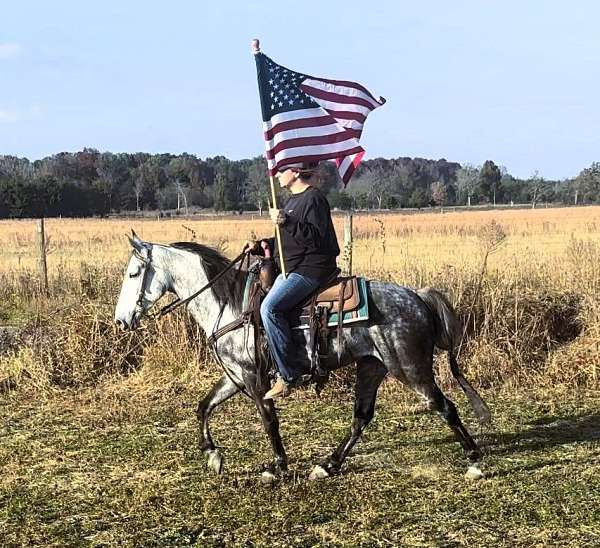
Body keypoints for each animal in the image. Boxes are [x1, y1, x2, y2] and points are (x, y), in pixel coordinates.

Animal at [115, 233, 490, 482]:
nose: (121, 321)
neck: (230, 305)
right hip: (372, 367)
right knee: (362, 417)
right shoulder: (235, 374)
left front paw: (277, 465)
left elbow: (268, 420)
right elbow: (204, 406)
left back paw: (474, 460)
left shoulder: (253, 377)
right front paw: (213, 456)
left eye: (133, 273)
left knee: (444, 406)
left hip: (410, 368)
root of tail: (418, 297)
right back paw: (328, 465)